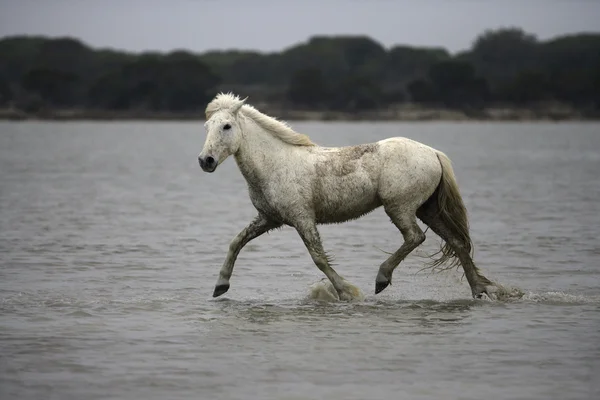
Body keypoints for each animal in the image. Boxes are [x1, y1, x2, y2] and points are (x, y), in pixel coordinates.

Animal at [198, 93, 496, 300]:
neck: (275, 164)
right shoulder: (269, 218)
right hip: (427, 209)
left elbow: (318, 257)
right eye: (207, 126)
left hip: (400, 207)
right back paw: (479, 290)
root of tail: (433, 152)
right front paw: (220, 286)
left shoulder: (302, 218)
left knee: (415, 237)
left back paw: (381, 279)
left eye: (226, 126)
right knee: (456, 242)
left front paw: (347, 292)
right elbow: (236, 243)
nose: (205, 161)